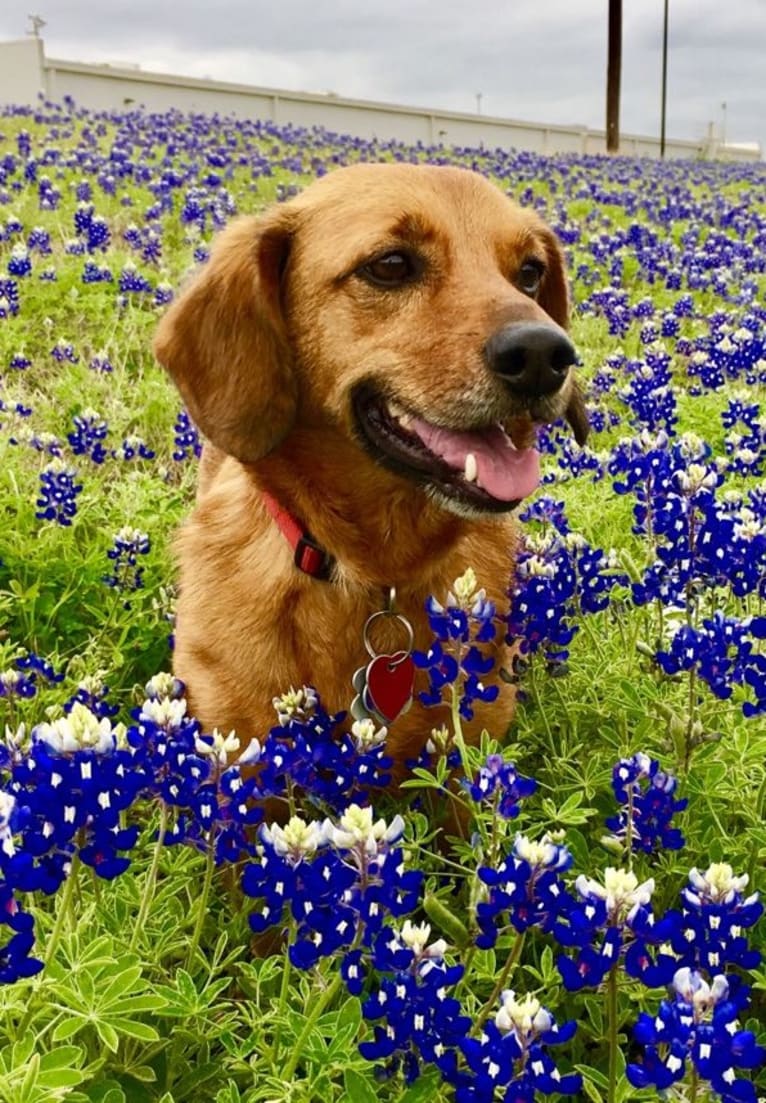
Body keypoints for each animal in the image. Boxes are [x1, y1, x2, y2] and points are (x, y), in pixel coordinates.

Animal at [154, 163, 587, 776]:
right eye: (390, 265)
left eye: (530, 273)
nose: (545, 355)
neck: (375, 572)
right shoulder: (236, 753)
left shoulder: (463, 755)